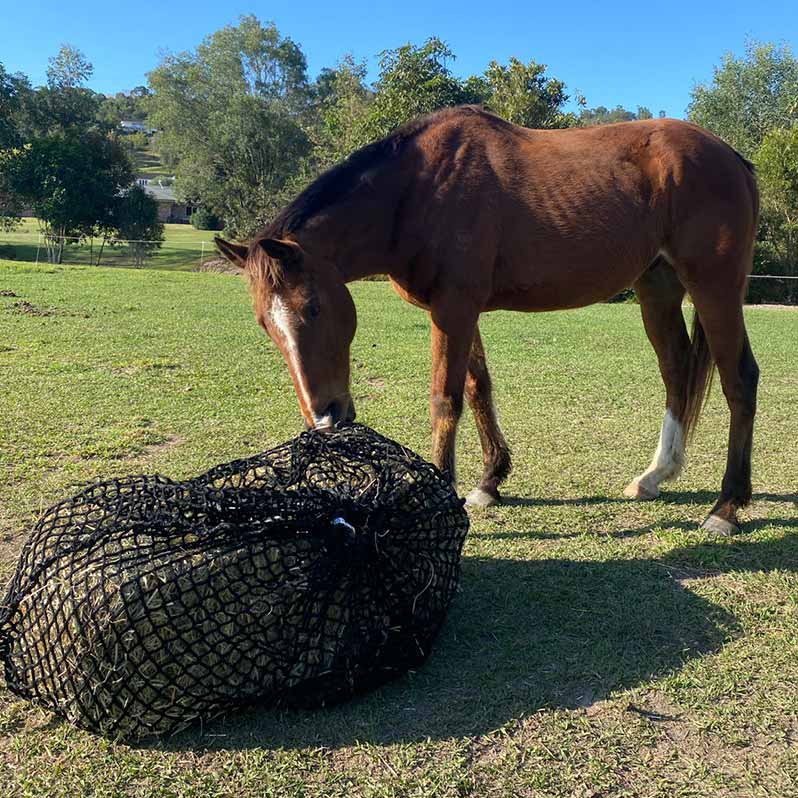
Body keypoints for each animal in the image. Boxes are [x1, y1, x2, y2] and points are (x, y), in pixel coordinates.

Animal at [217, 103, 764, 536]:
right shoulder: (461, 311)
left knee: (740, 380)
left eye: (312, 307)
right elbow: (478, 388)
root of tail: (732, 159)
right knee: (676, 373)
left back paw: (726, 507)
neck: (417, 191)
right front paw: (489, 482)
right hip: (659, 288)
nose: (326, 419)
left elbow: (445, 400)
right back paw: (655, 476)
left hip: (714, 288)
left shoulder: (454, 309)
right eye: (265, 325)